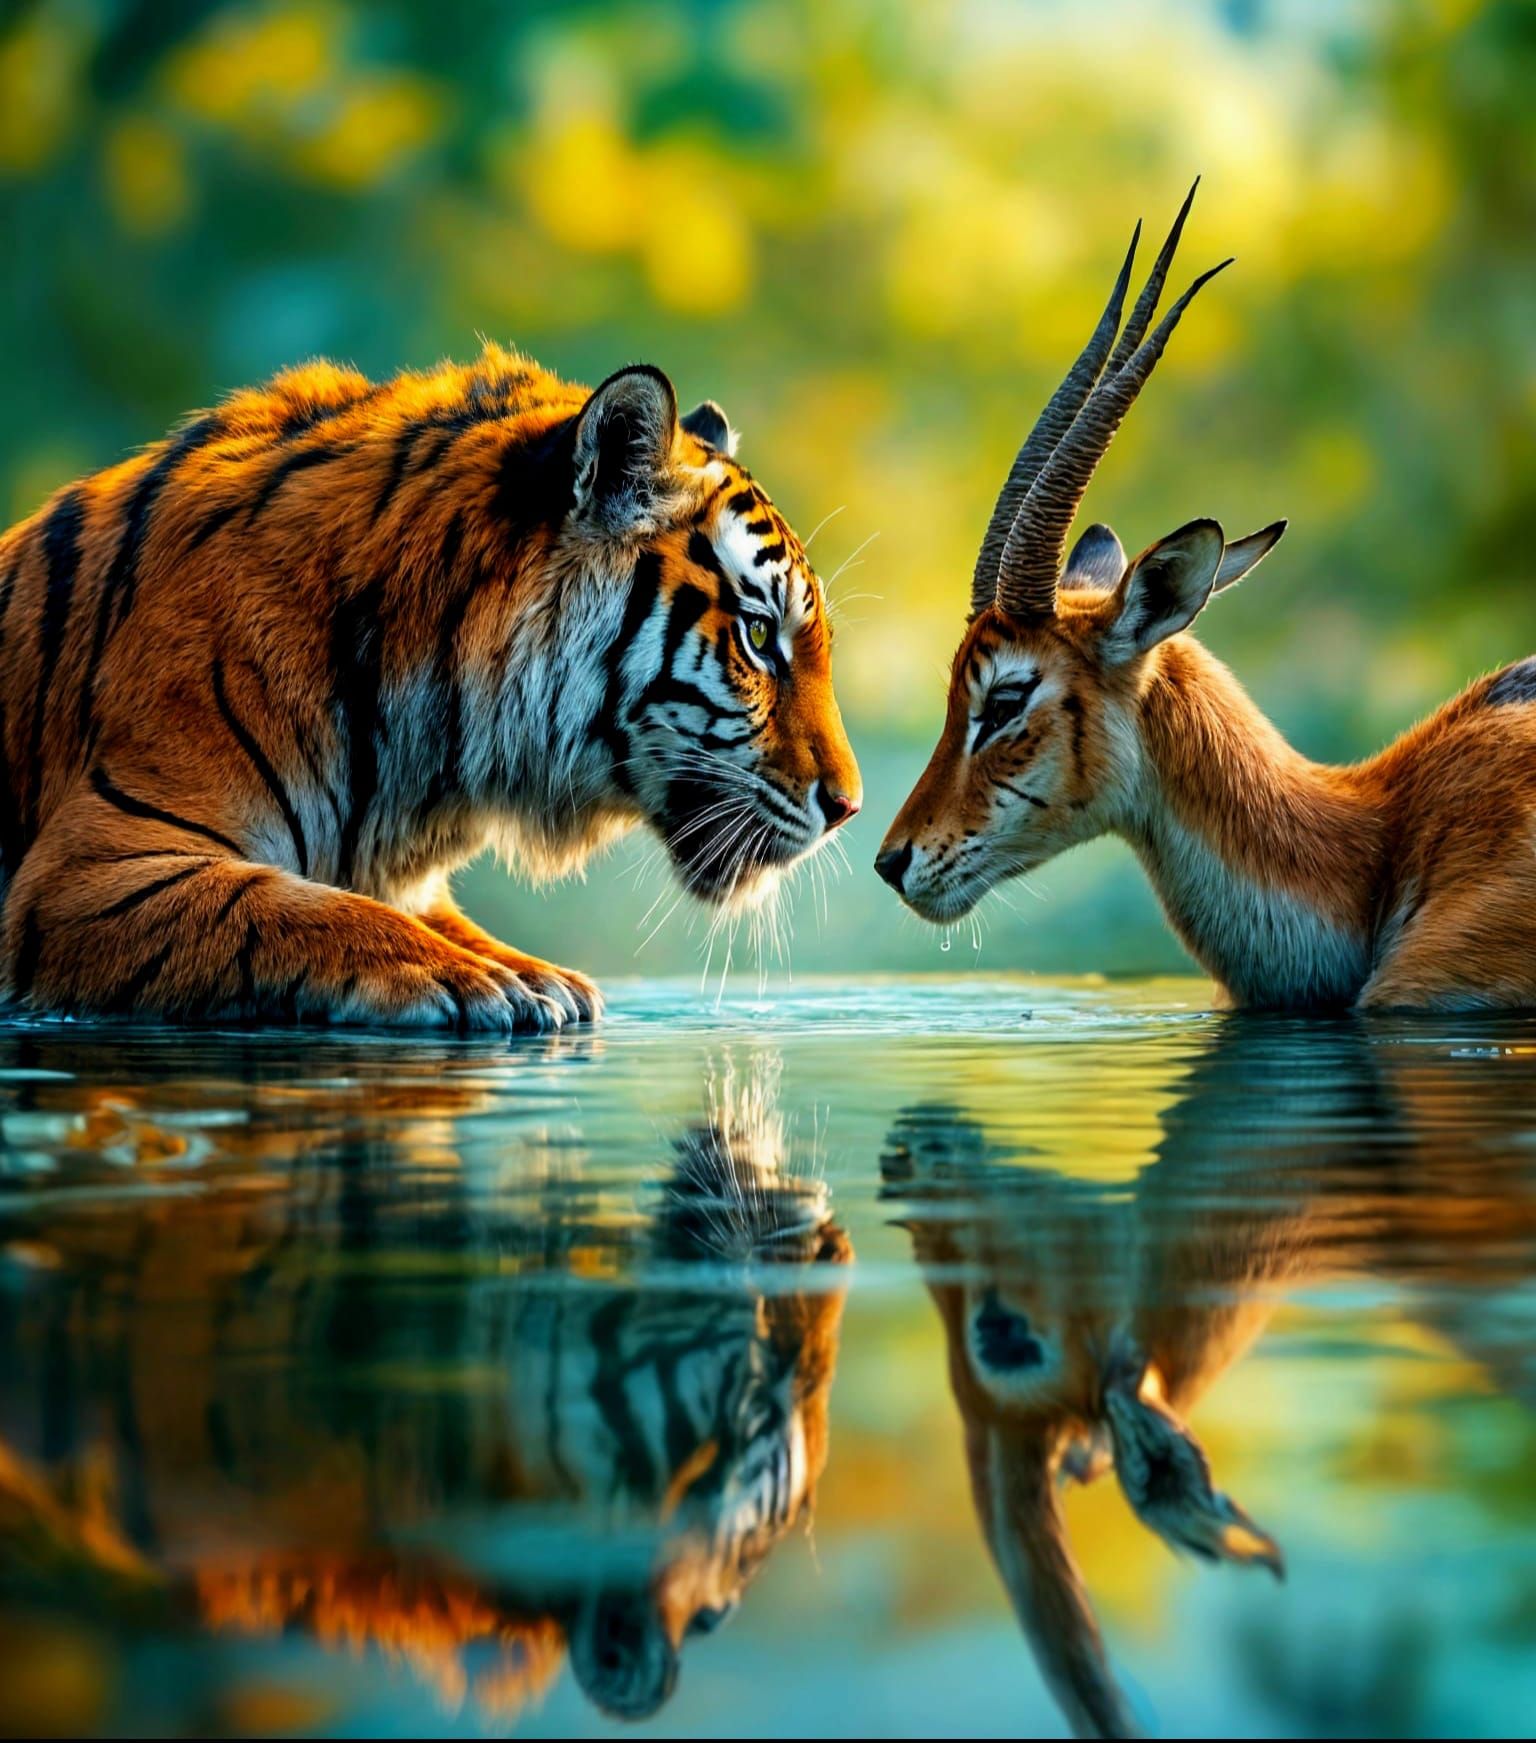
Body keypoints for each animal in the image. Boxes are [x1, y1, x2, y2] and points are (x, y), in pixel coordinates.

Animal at [0, 347, 861, 1029]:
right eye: (759, 637)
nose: (847, 808)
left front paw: (534, 973)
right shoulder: (90, 869)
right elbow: (291, 906)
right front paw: (474, 981)